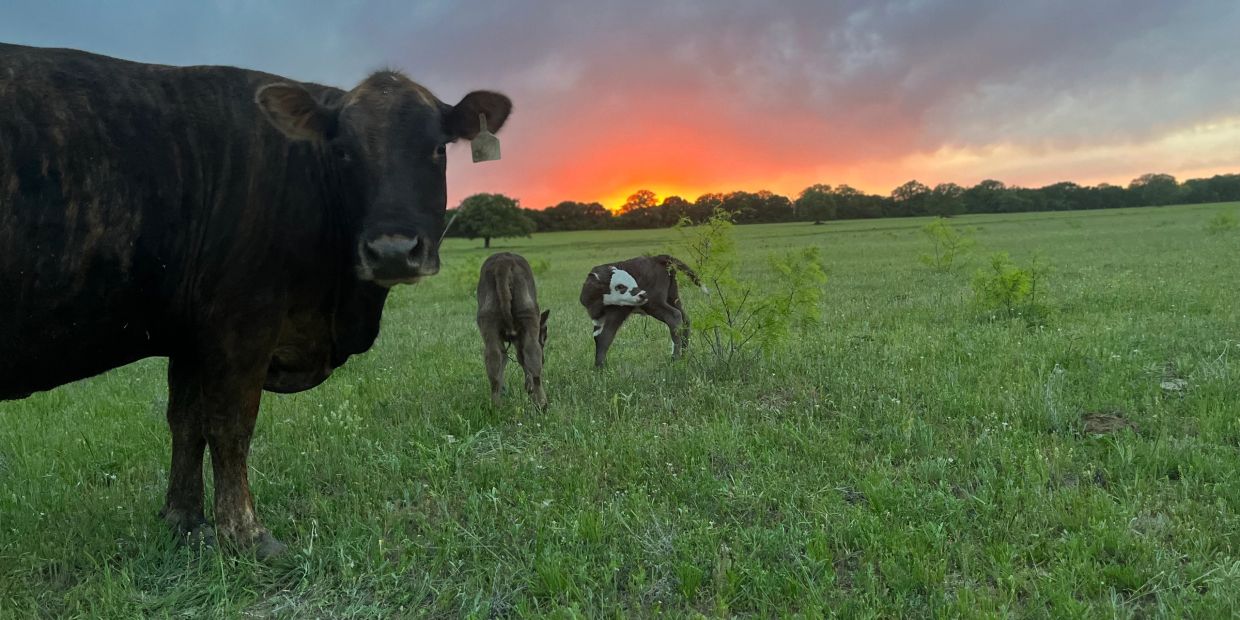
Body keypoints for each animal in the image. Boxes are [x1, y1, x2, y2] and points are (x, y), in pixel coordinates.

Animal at [0, 43, 511, 558]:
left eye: (438, 149)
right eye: (343, 151)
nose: (392, 250)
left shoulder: (191, 335)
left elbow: (186, 422)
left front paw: (185, 520)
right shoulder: (241, 319)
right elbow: (230, 425)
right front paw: (247, 534)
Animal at [476, 253, 549, 409]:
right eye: (544, 336)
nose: (544, 360)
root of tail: (503, 264)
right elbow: (521, 358)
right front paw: (529, 387)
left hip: (488, 321)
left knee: (494, 358)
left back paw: (496, 406)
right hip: (529, 315)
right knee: (532, 355)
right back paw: (542, 404)